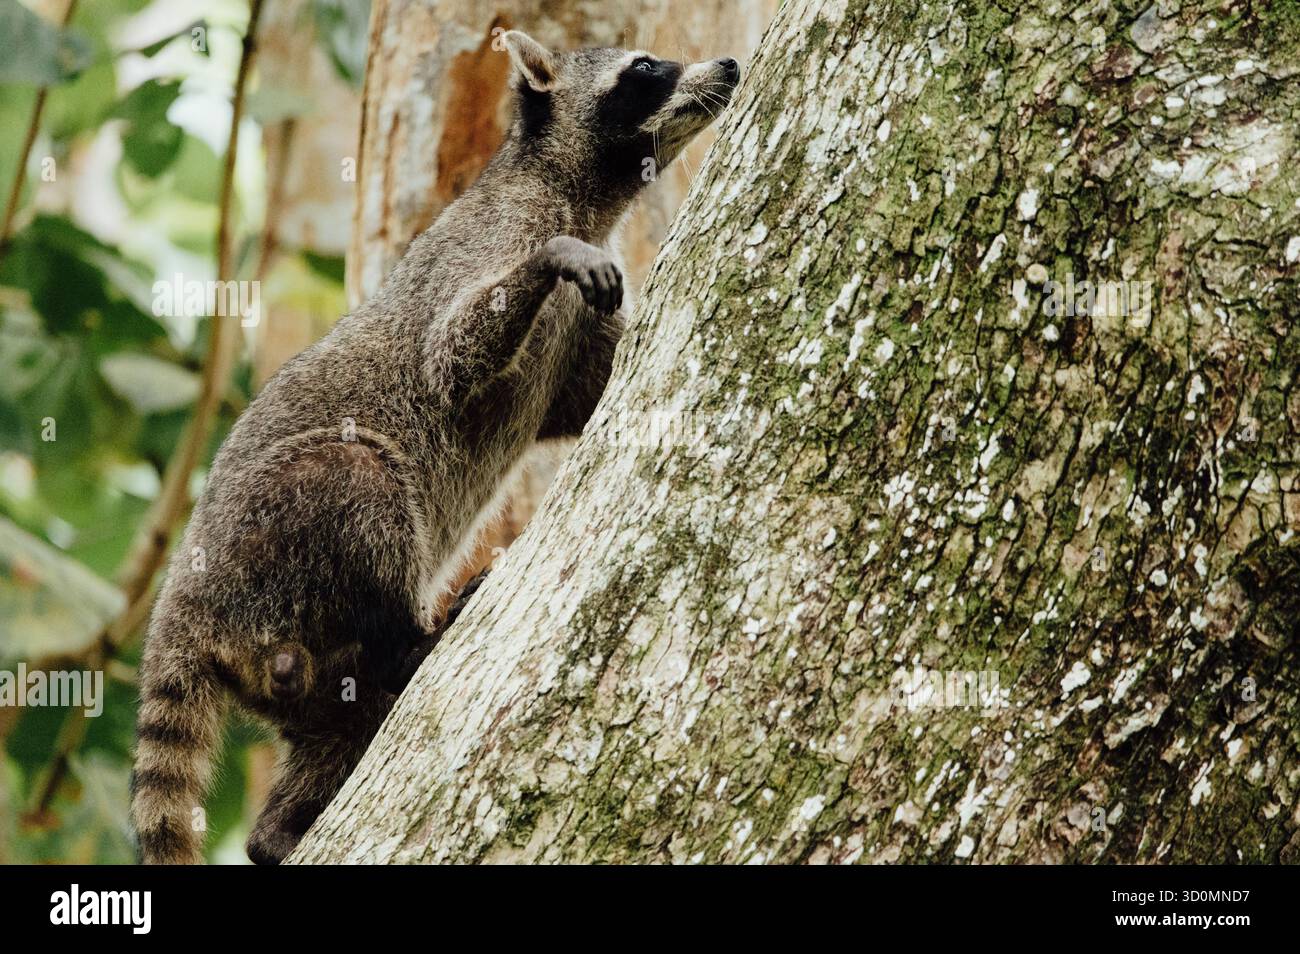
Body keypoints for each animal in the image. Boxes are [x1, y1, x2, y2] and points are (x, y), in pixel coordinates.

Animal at [130, 30, 740, 865]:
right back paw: (413, 635)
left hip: (295, 663)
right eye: (646, 70)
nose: (731, 67)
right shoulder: (493, 245)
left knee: (338, 723)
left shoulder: (578, 333)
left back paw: (277, 830)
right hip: (274, 533)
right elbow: (451, 354)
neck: (572, 186)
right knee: (359, 484)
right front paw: (550, 258)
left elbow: (594, 393)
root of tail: (185, 607)